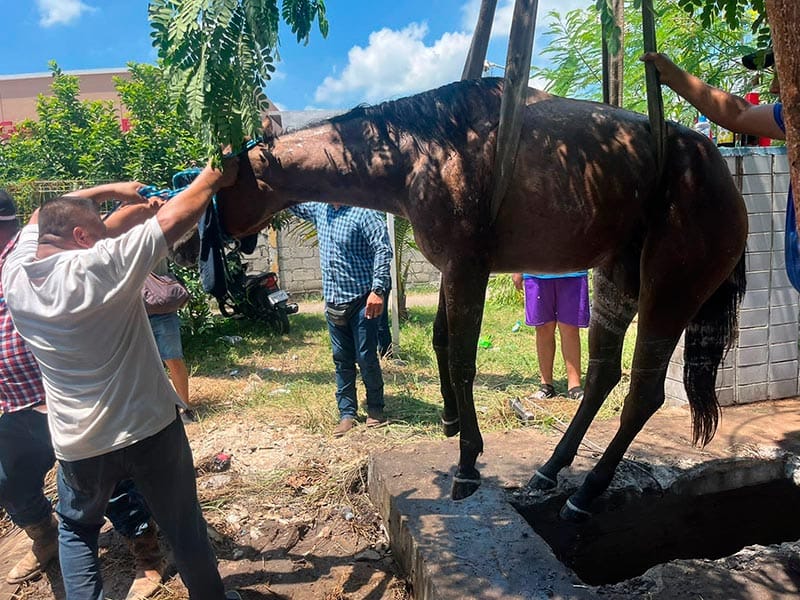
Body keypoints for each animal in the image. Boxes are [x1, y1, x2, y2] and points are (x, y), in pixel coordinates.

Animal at [216, 77, 748, 516]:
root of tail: (720, 172)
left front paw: (468, 462)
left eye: (221, 182)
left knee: (642, 394)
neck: (423, 153)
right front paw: (451, 420)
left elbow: (461, 362)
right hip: (616, 282)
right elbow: (441, 342)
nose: (210, 241)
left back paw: (586, 492)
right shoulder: (454, 269)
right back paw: (550, 469)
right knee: (602, 376)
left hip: (669, 295)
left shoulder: (468, 268)